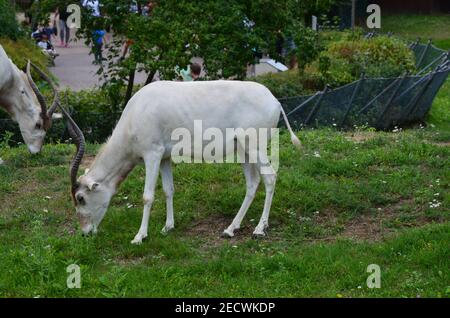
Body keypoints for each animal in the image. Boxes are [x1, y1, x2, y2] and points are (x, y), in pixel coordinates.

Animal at [63, 80, 300, 243]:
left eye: (81, 198)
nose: (85, 232)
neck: (135, 114)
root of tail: (275, 100)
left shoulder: (152, 154)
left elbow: (147, 196)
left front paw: (140, 236)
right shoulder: (165, 157)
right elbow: (169, 190)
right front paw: (168, 227)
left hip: (254, 147)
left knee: (269, 178)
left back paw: (259, 229)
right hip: (243, 151)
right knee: (252, 182)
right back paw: (230, 229)